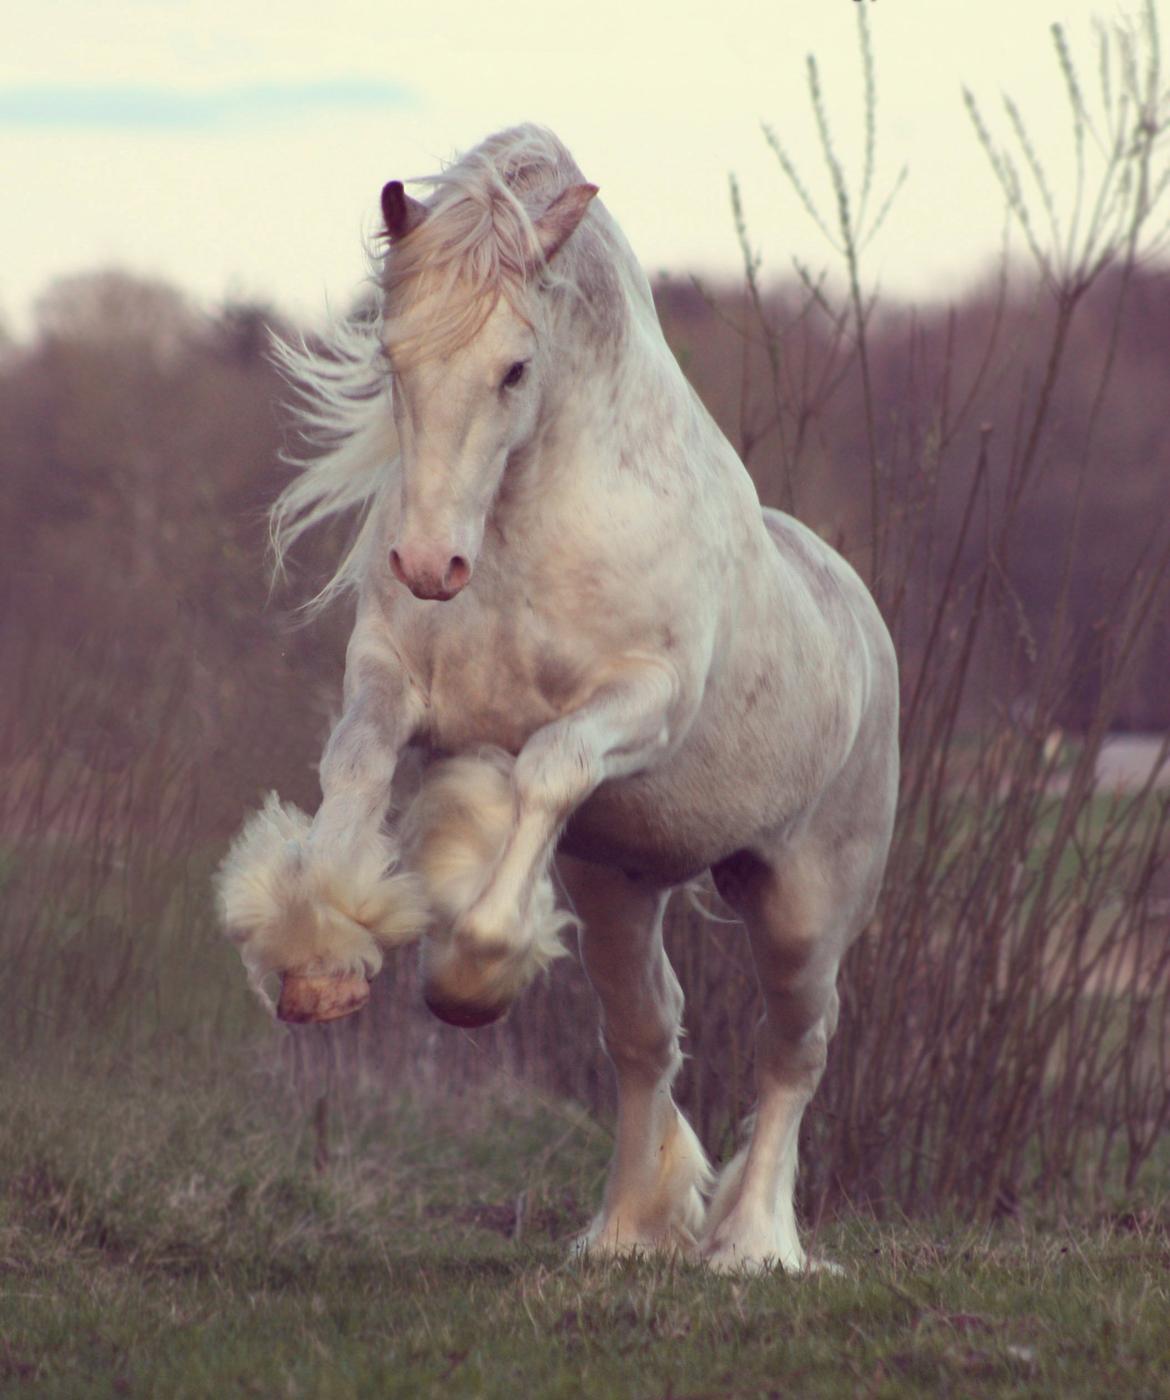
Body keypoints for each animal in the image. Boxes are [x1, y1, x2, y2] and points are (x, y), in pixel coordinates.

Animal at [216, 126, 895, 1276]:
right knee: (646, 1035)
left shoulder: (639, 704)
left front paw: (470, 974)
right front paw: (320, 958)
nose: (428, 563)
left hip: (806, 904)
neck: (530, 523)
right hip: (621, 883)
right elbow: (353, 770)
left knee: (794, 1050)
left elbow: (544, 768)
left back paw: (752, 1244)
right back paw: (626, 1232)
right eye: (392, 358)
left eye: (515, 367)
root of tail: (864, 621)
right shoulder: (392, 679)